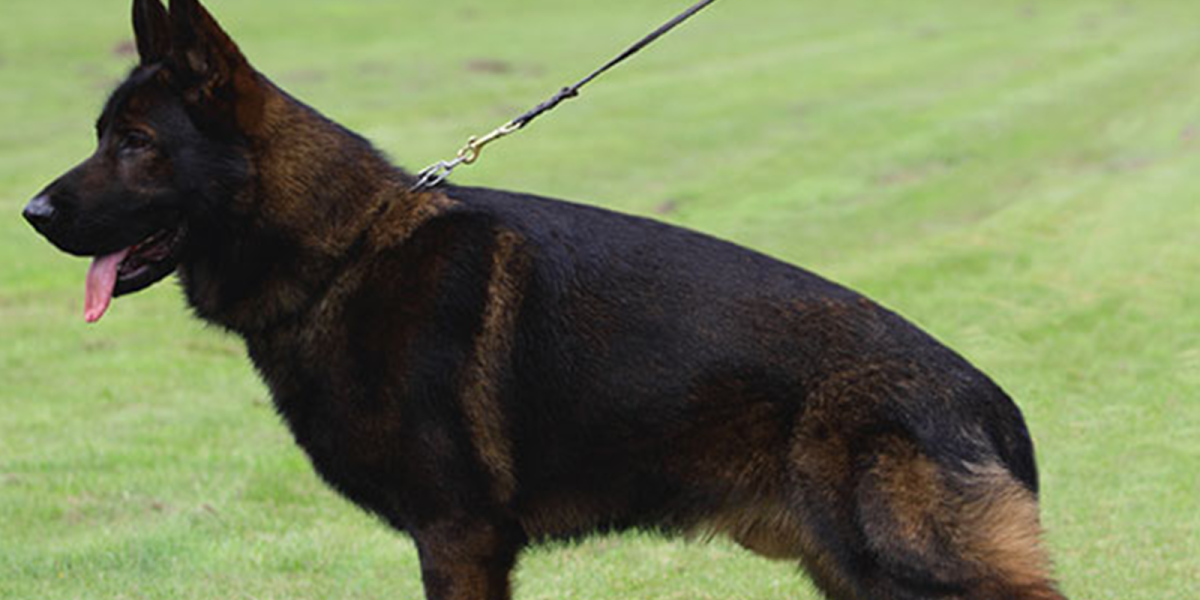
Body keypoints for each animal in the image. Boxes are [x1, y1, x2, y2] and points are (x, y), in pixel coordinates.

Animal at [23, 1, 1065, 600]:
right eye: (102, 134)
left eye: (135, 144)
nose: (29, 212)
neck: (342, 251)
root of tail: (989, 401)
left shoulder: (459, 538)